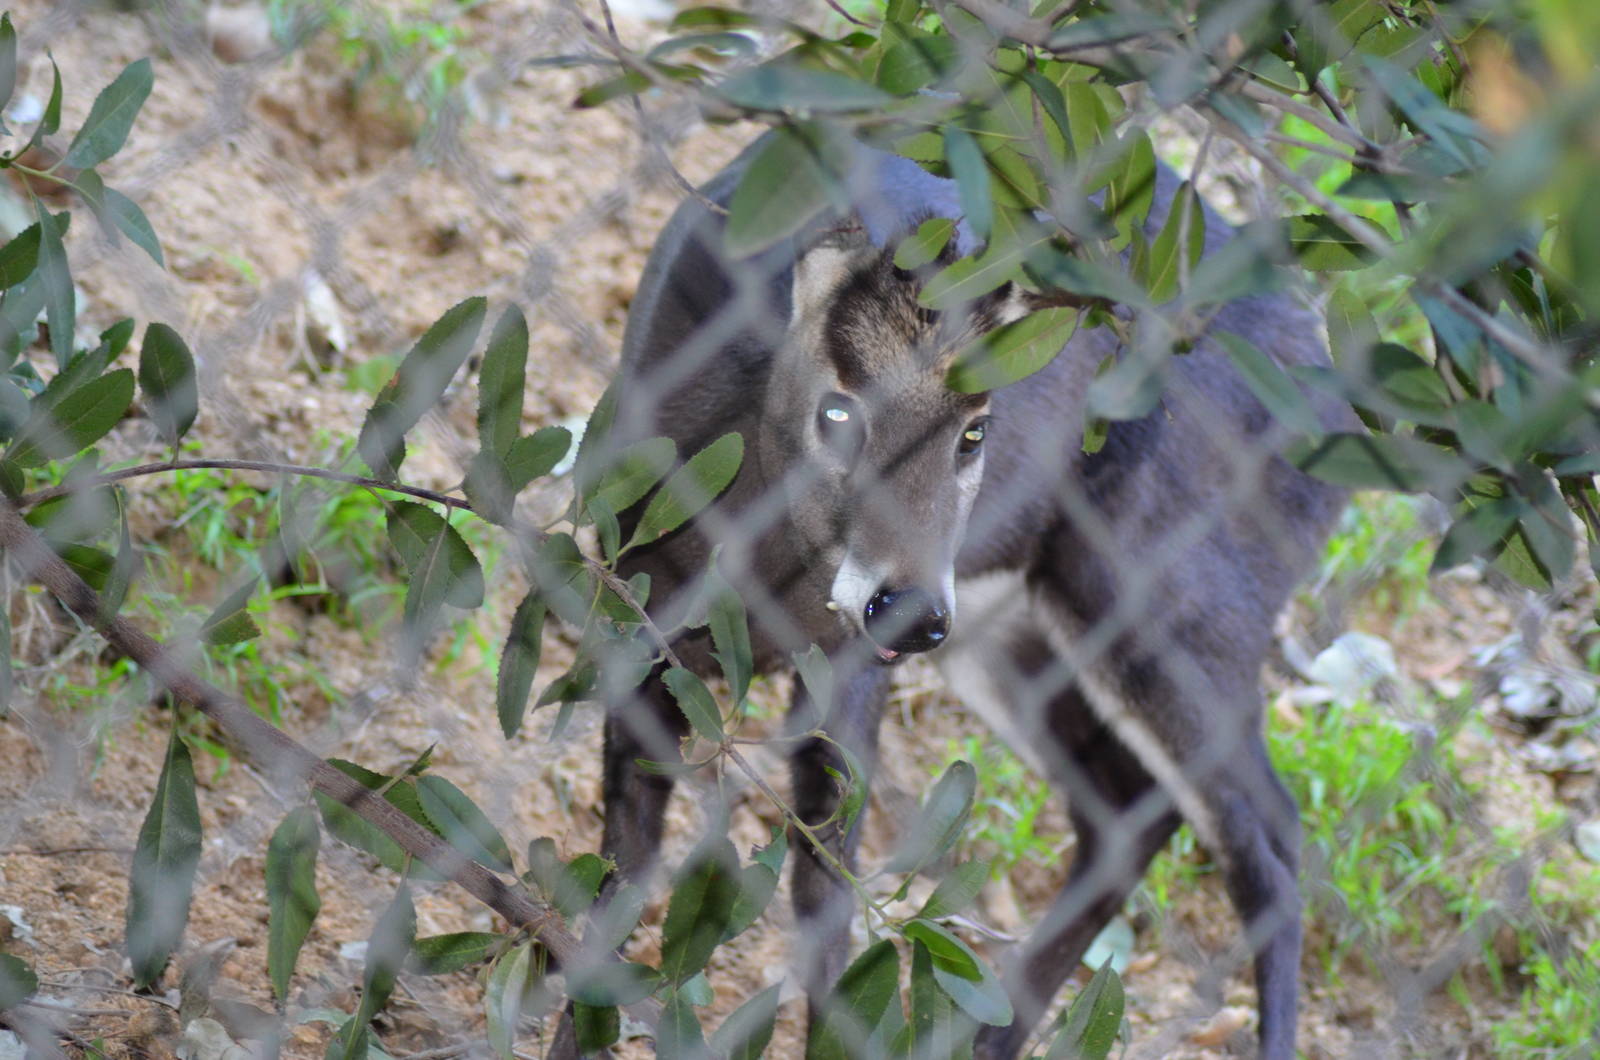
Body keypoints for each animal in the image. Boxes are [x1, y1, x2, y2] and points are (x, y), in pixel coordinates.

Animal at [552, 133, 1356, 1060]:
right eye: (839, 412)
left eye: (975, 429)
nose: (911, 609)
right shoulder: (640, 611)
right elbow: (625, 867)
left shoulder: (848, 665)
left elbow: (828, 884)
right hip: (1021, 629)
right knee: (1133, 811)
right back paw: (995, 1037)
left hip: (1179, 602)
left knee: (1269, 838)